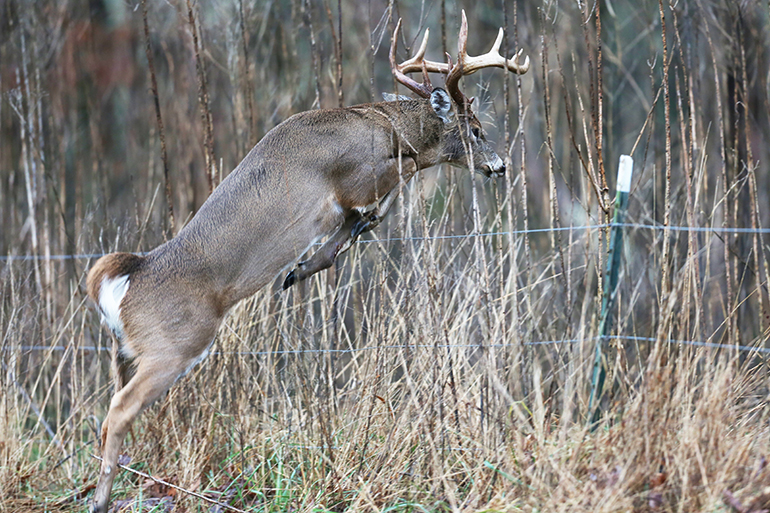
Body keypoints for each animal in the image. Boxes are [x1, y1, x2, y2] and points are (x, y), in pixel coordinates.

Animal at [85, 11, 528, 508]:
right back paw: (99, 500)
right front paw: (318, 256)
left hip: (123, 352)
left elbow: (359, 224)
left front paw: (301, 268)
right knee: (117, 411)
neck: (383, 127)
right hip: (175, 345)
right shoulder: (358, 179)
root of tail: (124, 281)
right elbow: (397, 184)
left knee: (109, 409)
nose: (500, 165)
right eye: (475, 129)